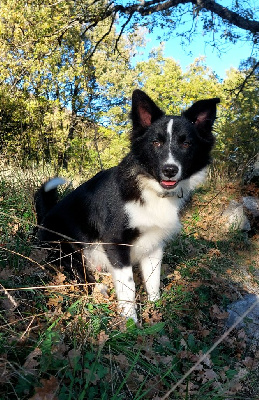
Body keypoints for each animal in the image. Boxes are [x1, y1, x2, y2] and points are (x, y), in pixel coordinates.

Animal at [34, 89, 220, 320]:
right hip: (65, 250)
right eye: (156, 142)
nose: (169, 170)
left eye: (186, 144)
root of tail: (44, 218)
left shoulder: (154, 245)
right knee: (80, 276)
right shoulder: (116, 243)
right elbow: (129, 287)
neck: (150, 189)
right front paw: (130, 320)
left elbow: (153, 281)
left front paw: (155, 309)